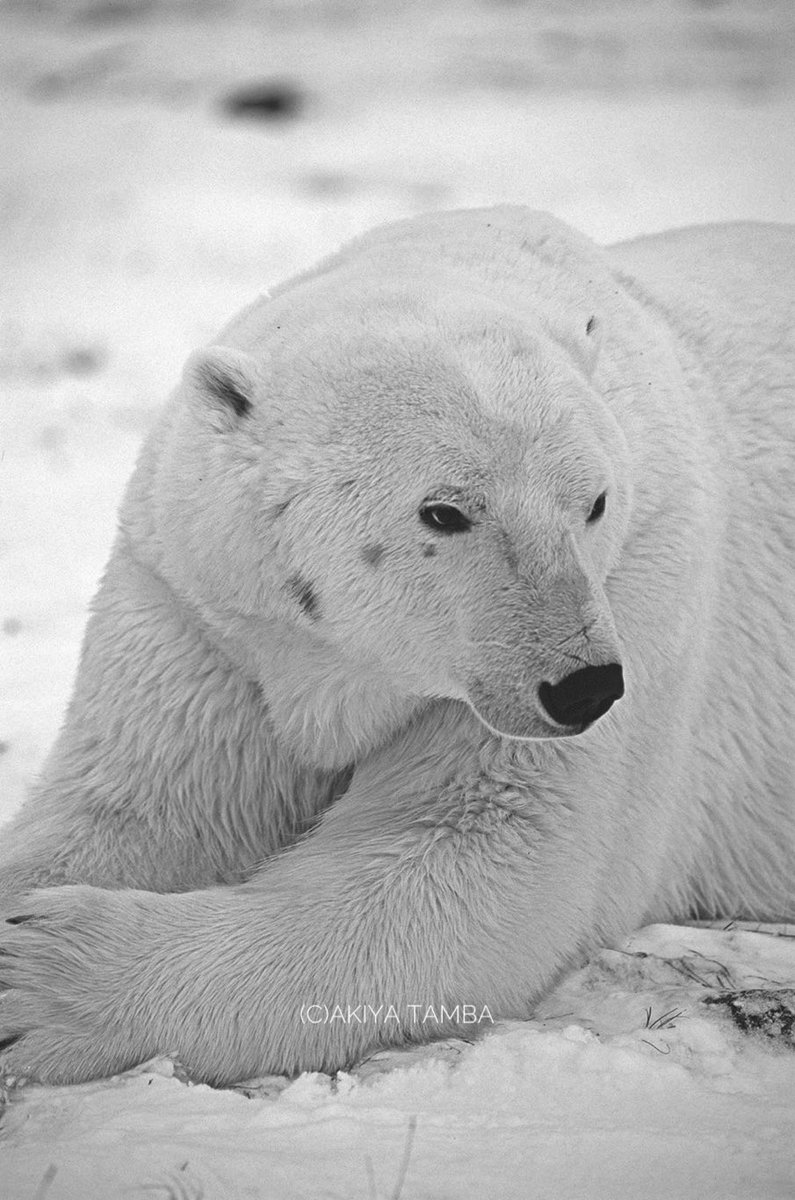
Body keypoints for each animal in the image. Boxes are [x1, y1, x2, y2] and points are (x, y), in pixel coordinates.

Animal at [1, 208, 795, 1089]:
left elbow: (480, 868)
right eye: (443, 511)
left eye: (593, 502)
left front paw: (36, 979)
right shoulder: (207, 613)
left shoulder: (640, 583)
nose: (582, 685)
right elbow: (138, 806)